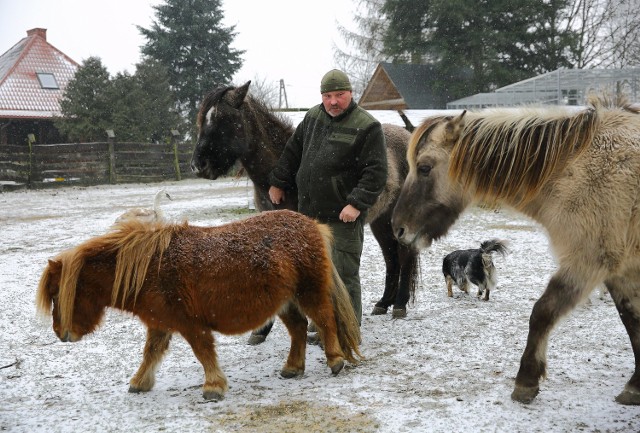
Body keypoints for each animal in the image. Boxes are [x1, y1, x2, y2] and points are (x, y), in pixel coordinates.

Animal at [36, 208, 360, 400]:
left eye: (57, 294)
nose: (60, 334)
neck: (149, 270)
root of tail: (313, 225)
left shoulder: (190, 324)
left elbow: (203, 352)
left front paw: (213, 387)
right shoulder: (159, 323)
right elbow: (151, 353)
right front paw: (140, 383)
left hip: (309, 292)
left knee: (325, 321)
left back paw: (335, 360)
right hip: (285, 302)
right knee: (298, 329)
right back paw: (293, 368)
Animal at [190, 81, 420, 340]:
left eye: (225, 120)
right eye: (202, 120)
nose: (198, 166)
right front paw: (262, 330)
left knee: (404, 255)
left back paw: (399, 305)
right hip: (379, 221)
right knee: (391, 257)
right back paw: (383, 303)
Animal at [390, 98, 640, 404]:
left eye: (424, 167)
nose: (398, 228)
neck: (574, 170)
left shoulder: (587, 261)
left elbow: (542, 312)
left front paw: (526, 380)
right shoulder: (620, 270)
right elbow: (632, 319)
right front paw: (636, 385)